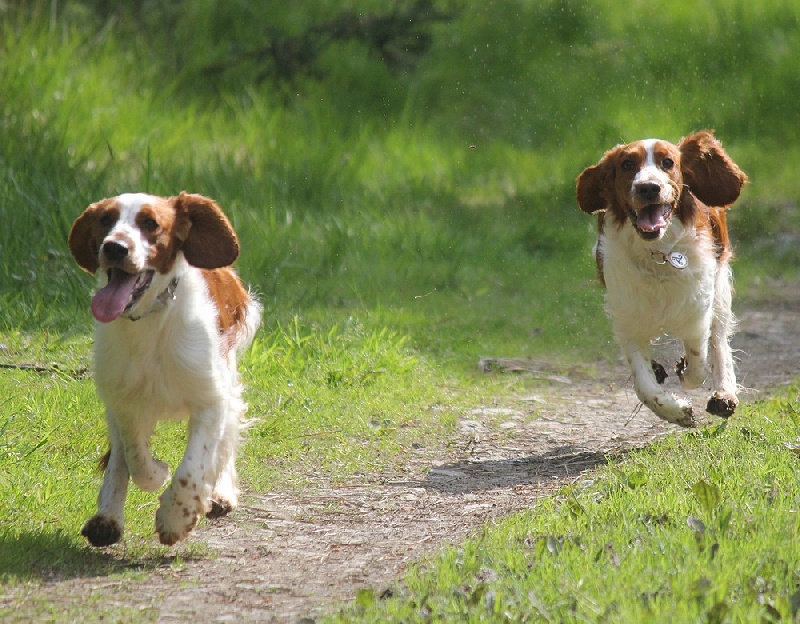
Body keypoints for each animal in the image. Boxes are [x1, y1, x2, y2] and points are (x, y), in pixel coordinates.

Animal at [69, 193, 260, 544]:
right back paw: (106, 520)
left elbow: (193, 467)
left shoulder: (210, 398)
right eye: (105, 220)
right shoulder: (122, 399)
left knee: (227, 438)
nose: (114, 248)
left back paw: (221, 494)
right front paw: (157, 473)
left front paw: (176, 517)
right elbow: (133, 457)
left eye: (150, 223)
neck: (149, 322)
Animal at [580, 132, 748, 428]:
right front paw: (676, 410)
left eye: (668, 162)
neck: (658, 255)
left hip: (720, 288)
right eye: (626, 164)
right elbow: (644, 385)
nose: (648, 188)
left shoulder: (696, 311)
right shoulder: (628, 319)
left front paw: (685, 371)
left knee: (719, 340)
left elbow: (698, 363)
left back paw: (724, 394)